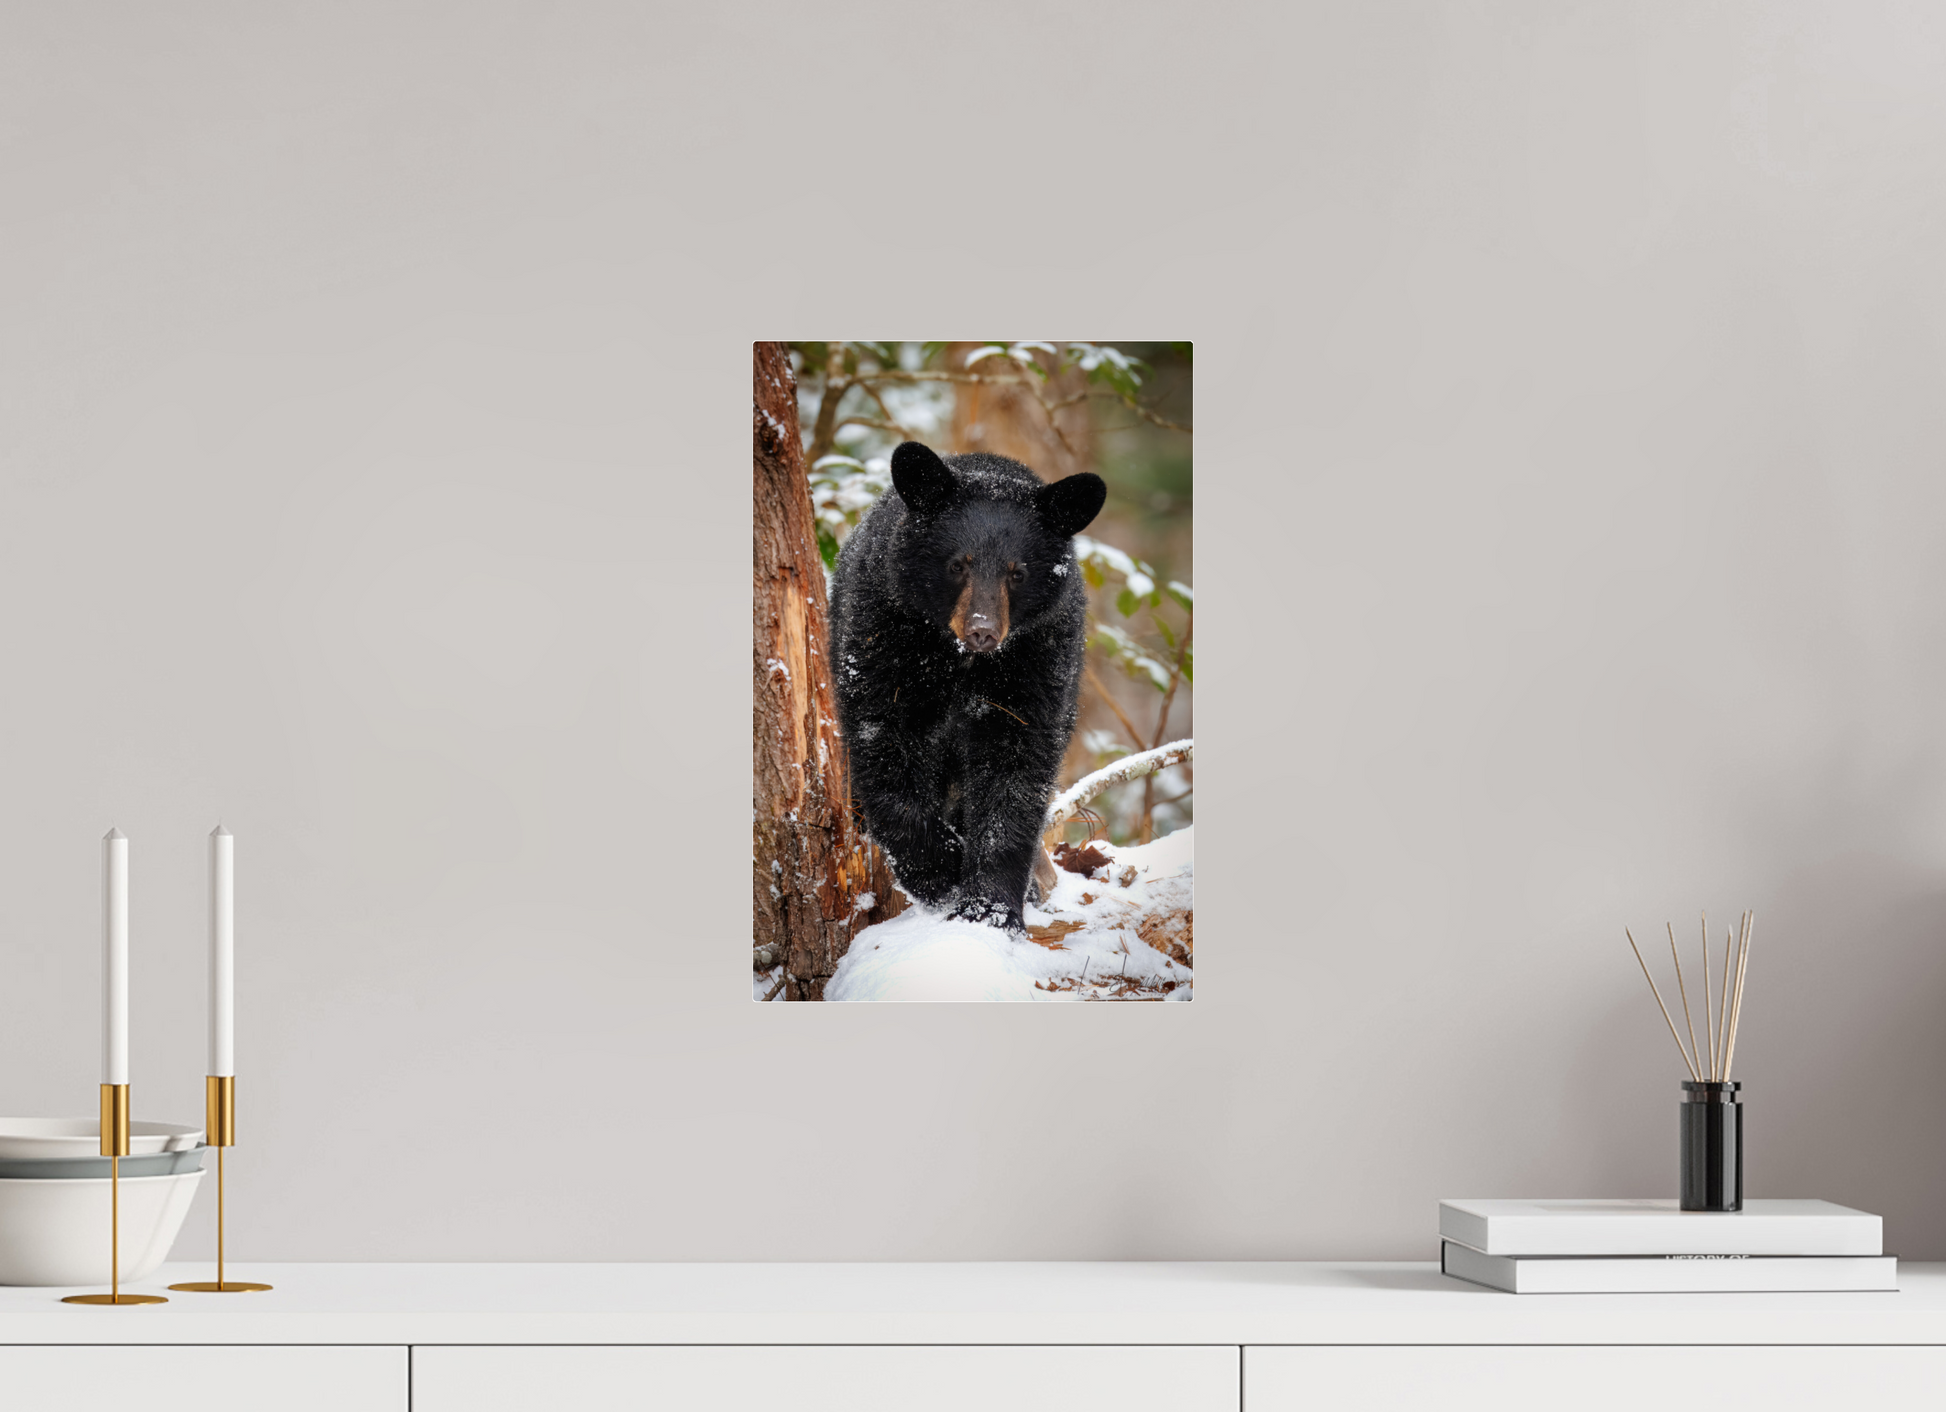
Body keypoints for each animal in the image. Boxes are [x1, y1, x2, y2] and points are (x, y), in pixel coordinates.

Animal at [829, 440, 1107, 934]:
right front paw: (941, 874)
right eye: (958, 564)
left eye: (1017, 572)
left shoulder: (1040, 655)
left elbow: (1016, 768)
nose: (983, 631)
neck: (960, 661)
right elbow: (884, 740)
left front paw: (989, 910)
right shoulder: (882, 633)